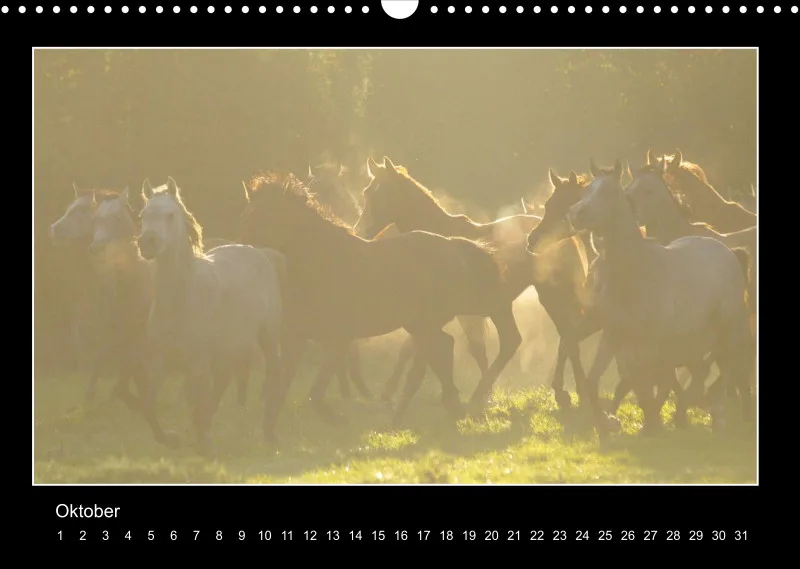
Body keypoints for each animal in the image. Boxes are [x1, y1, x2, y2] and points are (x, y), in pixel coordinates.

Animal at [137, 177, 285, 453]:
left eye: (170, 215)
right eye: (143, 215)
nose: (147, 243)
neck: (179, 301)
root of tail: (260, 252)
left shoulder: (197, 361)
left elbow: (198, 401)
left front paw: (203, 441)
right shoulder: (159, 360)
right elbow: (149, 406)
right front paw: (171, 438)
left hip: (267, 335)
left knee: (273, 374)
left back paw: (269, 431)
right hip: (229, 347)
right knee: (225, 381)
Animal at [238, 171, 522, 429]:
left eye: (265, 217)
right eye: (248, 217)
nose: (246, 255)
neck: (324, 261)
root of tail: (455, 245)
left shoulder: (338, 338)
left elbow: (315, 393)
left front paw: (340, 420)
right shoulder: (296, 339)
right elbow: (281, 388)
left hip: (430, 322)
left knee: (446, 350)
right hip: (421, 324)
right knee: (440, 350)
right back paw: (442, 407)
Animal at [353, 157, 605, 429]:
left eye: (382, 194)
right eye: (366, 192)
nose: (359, 232)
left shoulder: (456, 314)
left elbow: (465, 349)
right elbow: (413, 348)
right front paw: (388, 394)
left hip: (548, 296)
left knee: (554, 337)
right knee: (560, 337)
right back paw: (572, 393)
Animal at [565, 159, 753, 434]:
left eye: (609, 192)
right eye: (586, 190)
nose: (576, 214)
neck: (634, 272)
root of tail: (729, 251)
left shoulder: (649, 341)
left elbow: (646, 380)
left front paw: (651, 423)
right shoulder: (614, 336)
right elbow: (596, 380)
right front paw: (606, 425)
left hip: (726, 327)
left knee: (727, 363)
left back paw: (715, 411)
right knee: (704, 369)